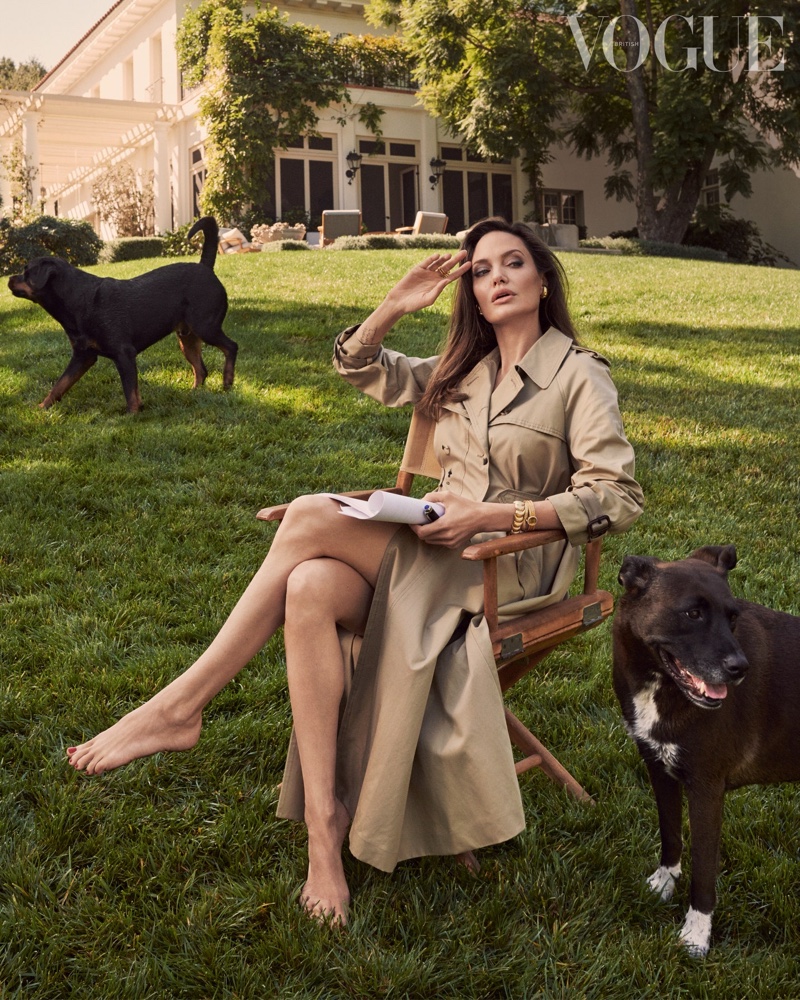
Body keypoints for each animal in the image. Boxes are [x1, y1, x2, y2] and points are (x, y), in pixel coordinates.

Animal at [7, 217, 238, 412]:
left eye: (26, 272)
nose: (9, 279)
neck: (77, 299)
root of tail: (206, 267)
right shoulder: (82, 356)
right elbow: (59, 385)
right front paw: (42, 407)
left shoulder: (124, 354)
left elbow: (131, 392)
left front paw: (132, 417)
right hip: (187, 338)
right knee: (201, 369)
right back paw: (194, 393)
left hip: (205, 326)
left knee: (231, 347)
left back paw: (227, 382)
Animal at [612, 544, 800, 956]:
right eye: (692, 614)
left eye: (733, 617)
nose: (740, 668)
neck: (661, 686)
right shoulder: (659, 768)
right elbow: (670, 833)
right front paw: (664, 883)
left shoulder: (707, 788)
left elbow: (704, 870)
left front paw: (696, 934)